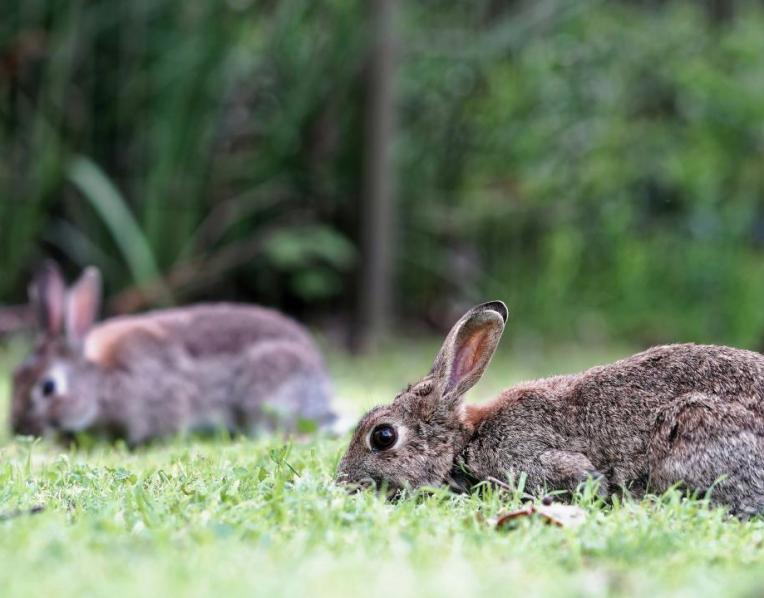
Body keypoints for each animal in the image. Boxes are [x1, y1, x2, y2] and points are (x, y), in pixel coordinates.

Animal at [337, 300, 764, 516]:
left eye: (383, 436)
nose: (343, 481)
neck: (465, 441)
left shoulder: (529, 458)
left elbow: (584, 478)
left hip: (693, 425)